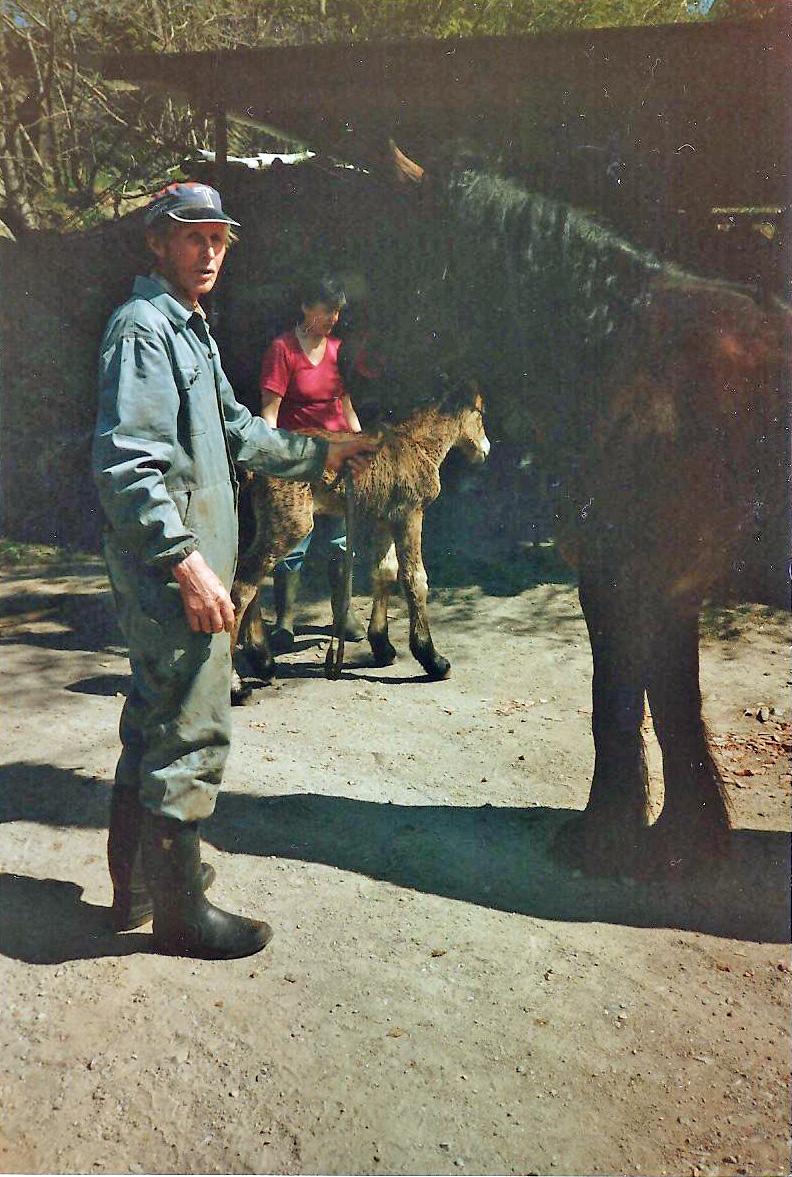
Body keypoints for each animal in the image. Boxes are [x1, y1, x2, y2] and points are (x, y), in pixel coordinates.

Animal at [385, 142, 786, 880]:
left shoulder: (621, 579)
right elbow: (673, 704)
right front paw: (687, 838)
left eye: (414, 257)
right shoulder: (666, 590)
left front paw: (608, 835)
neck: (627, 360)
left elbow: (621, 703)